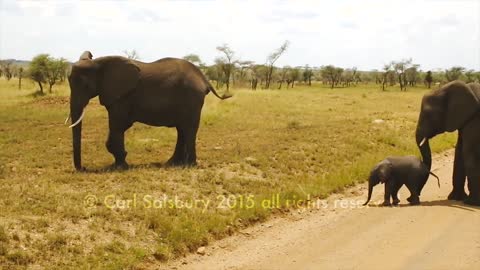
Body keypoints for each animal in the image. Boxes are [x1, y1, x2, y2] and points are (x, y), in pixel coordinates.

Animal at [67, 51, 231, 171]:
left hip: (192, 98)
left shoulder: (122, 97)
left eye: (85, 86)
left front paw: (120, 166)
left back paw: (189, 165)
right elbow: (120, 126)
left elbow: (117, 125)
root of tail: (203, 78)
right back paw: (173, 163)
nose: (83, 168)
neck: (98, 63)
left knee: (189, 129)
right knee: (182, 129)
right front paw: (120, 163)